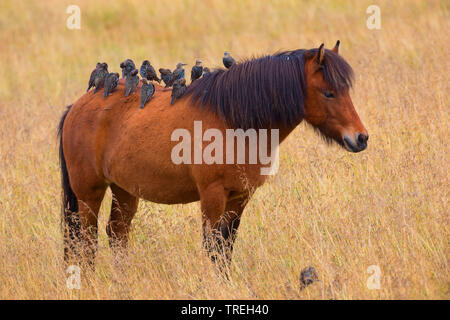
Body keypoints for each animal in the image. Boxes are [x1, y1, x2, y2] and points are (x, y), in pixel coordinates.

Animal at [59, 41, 370, 268]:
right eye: (328, 93)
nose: (361, 138)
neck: (233, 121)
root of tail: (77, 107)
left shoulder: (240, 197)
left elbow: (226, 247)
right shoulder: (212, 195)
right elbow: (212, 247)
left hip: (124, 190)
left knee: (117, 234)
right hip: (89, 193)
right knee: (85, 240)